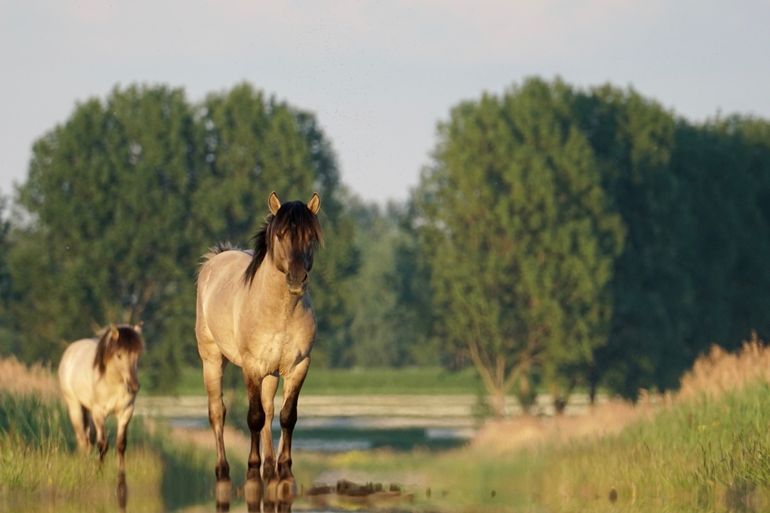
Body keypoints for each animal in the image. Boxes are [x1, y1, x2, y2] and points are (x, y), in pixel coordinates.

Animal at [57, 324, 144, 472]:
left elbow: (121, 445)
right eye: (119, 355)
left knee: (89, 439)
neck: (112, 383)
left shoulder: (126, 412)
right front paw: (99, 472)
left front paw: (121, 474)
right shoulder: (99, 412)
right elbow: (103, 444)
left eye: (137, 354)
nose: (134, 386)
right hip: (75, 406)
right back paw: (84, 466)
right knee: (82, 439)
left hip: (89, 411)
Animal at [196, 191, 322, 488]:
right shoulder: (251, 367)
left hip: (272, 373)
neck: (281, 312)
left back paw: (270, 466)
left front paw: (284, 466)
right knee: (218, 411)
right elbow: (254, 417)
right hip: (212, 359)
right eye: (280, 235)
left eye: (311, 236)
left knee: (269, 410)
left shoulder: (299, 366)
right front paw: (252, 467)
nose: (297, 278)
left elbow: (286, 416)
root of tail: (216, 258)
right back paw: (223, 469)